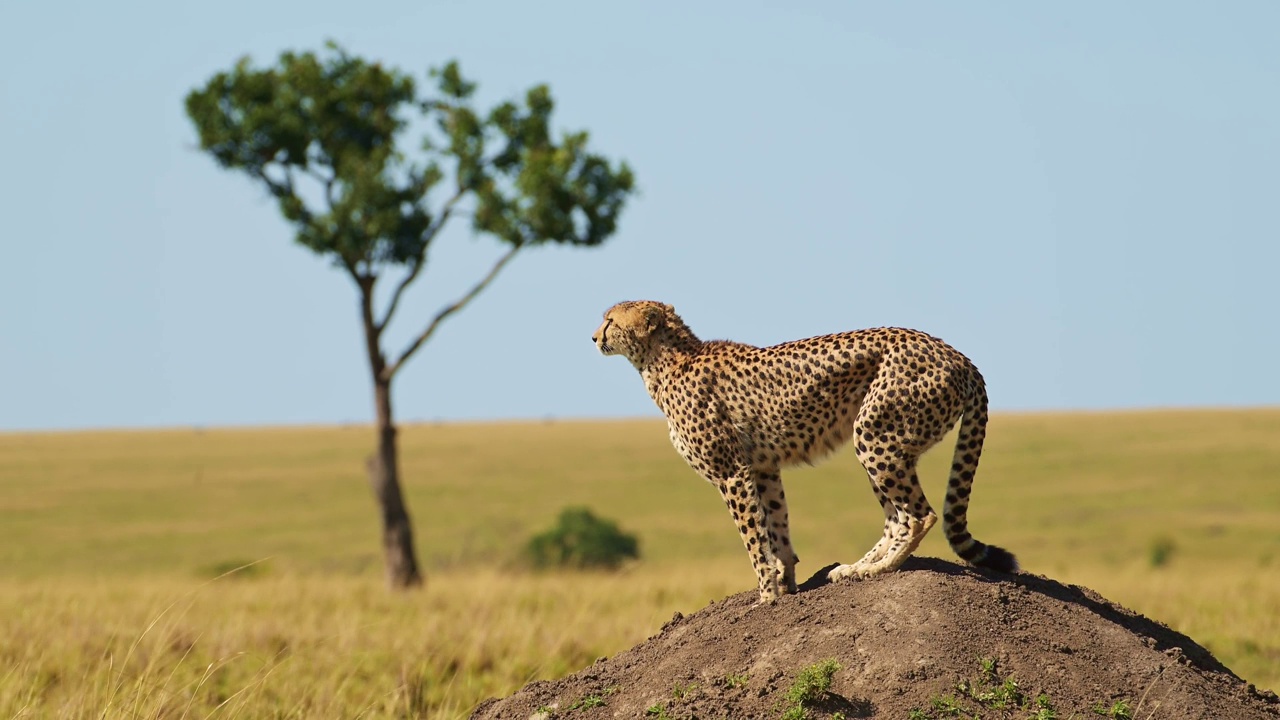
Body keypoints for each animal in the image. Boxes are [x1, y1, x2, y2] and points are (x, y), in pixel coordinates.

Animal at [591, 299, 1018, 602]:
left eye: (610, 320)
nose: (594, 337)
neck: (664, 362)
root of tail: (956, 354)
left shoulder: (732, 472)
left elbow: (753, 538)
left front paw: (766, 595)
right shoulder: (762, 467)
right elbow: (776, 528)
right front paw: (787, 584)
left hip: (875, 435)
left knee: (919, 515)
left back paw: (877, 571)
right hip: (881, 441)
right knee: (895, 517)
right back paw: (855, 568)